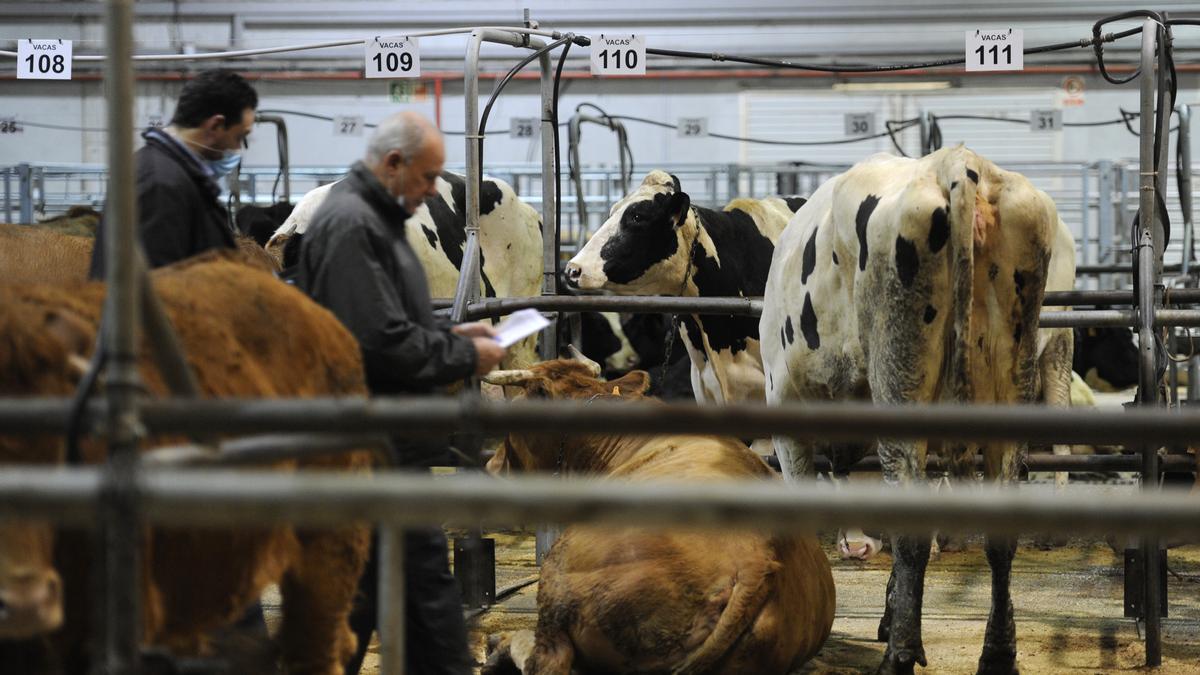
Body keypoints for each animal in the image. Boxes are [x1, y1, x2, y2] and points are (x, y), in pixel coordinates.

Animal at [763, 144, 1056, 667]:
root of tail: (957, 164)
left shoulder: (786, 415)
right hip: (1011, 379)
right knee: (999, 537)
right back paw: (997, 654)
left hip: (900, 378)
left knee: (912, 533)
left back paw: (899, 656)